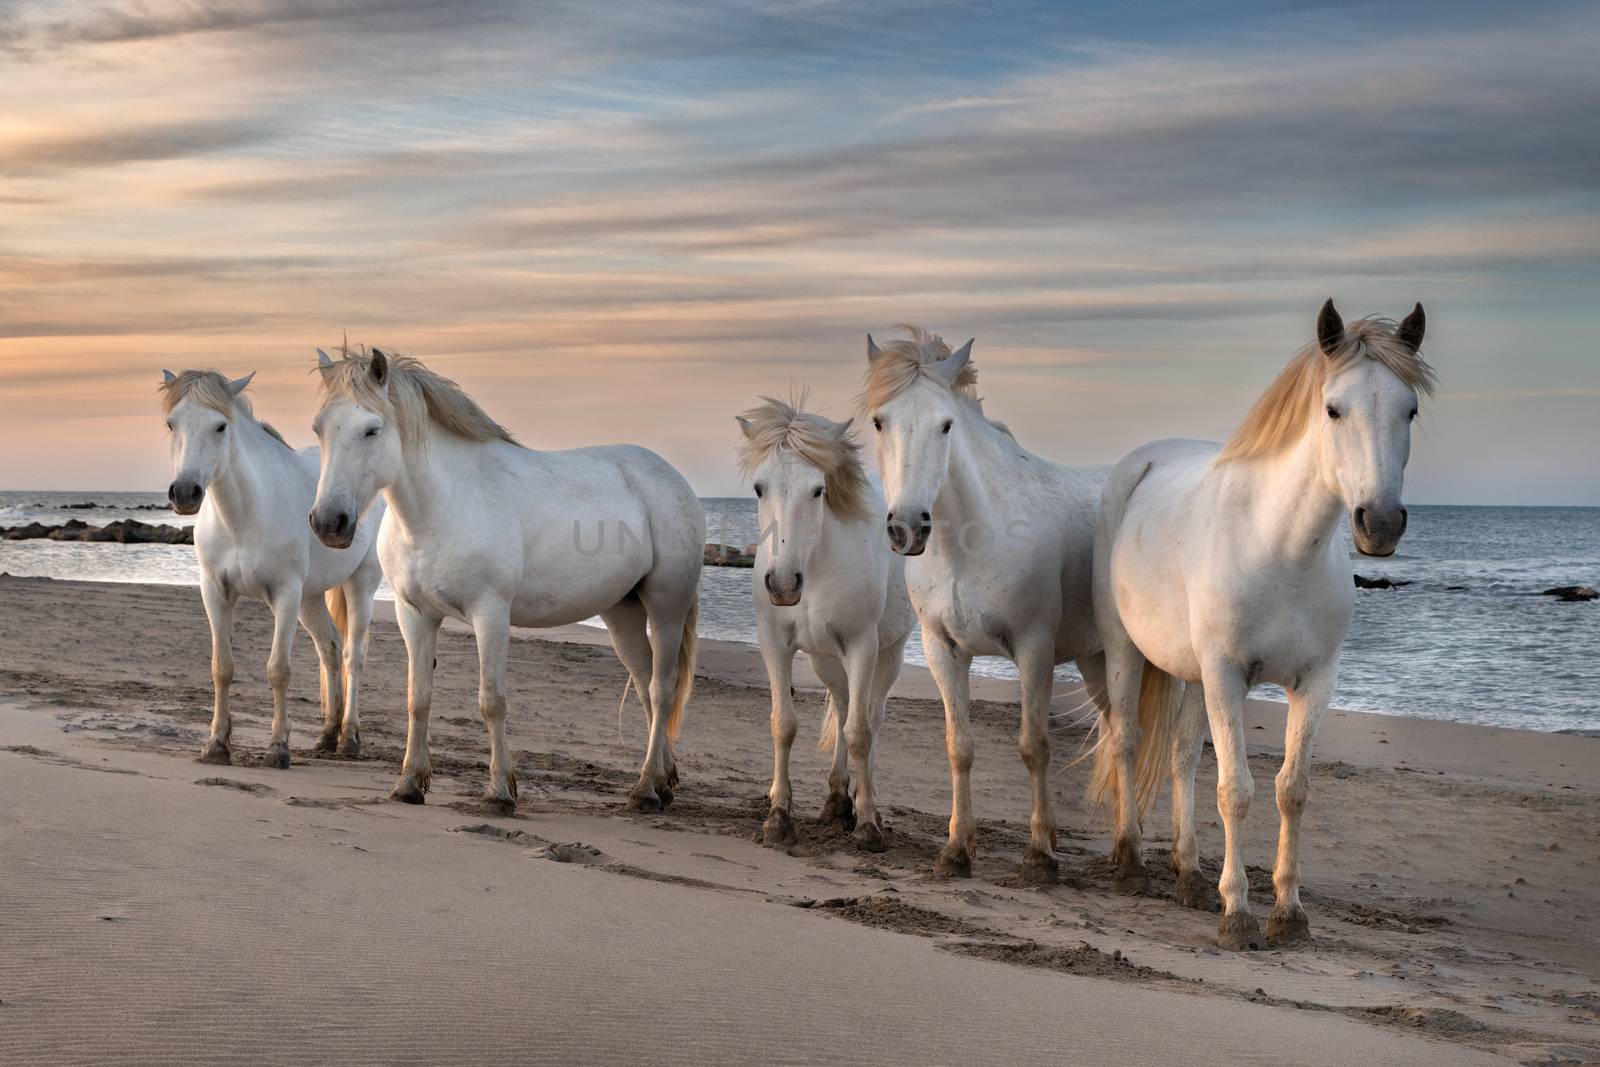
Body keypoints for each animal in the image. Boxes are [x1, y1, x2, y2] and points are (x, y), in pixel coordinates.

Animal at [160, 367, 384, 767]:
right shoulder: (215, 592)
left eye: (220, 426)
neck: (244, 516)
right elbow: (222, 667)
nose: (185, 492)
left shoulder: (285, 594)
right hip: (310, 599)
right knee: (329, 649)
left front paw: (278, 748)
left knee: (352, 656)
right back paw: (327, 735)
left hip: (360, 584)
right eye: (172, 423)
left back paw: (349, 739)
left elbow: (279, 670)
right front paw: (216, 744)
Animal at [308, 347, 704, 812]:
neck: (443, 506)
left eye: (372, 429)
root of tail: (673, 479)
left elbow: (492, 701)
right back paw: (662, 780)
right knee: (645, 687)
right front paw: (409, 782)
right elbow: (417, 698)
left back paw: (644, 789)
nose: (329, 522)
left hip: (666, 607)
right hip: (621, 613)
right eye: (319, 429)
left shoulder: (490, 614)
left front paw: (499, 791)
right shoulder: (414, 615)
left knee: (662, 689)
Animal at [736, 391, 915, 851]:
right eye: (759, 488)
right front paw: (778, 817)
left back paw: (864, 805)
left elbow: (860, 733)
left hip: (888, 655)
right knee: (844, 702)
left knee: (871, 716)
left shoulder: (862, 647)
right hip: (826, 660)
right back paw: (836, 800)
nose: (783, 585)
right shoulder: (774, 644)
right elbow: (784, 725)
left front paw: (868, 823)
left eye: (818, 490)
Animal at [864, 327, 1113, 883]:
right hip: (1095, 660)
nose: (907, 526)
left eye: (946, 425)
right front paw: (957, 849)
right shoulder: (942, 649)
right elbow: (960, 747)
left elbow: (1034, 746)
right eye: (879, 420)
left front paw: (1040, 854)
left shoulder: (1035, 651)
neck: (971, 540)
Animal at [1094, 300, 1433, 953]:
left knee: (1180, 756)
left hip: (1191, 674)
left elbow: (1290, 789)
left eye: (1411, 409)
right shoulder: (1228, 676)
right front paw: (1238, 915)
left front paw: (1289, 914)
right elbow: (1236, 789)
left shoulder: (1315, 682)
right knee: (1126, 739)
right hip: (1127, 649)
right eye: (1333, 408)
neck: (1281, 548)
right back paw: (1130, 865)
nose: (1380, 523)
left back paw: (1189, 877)